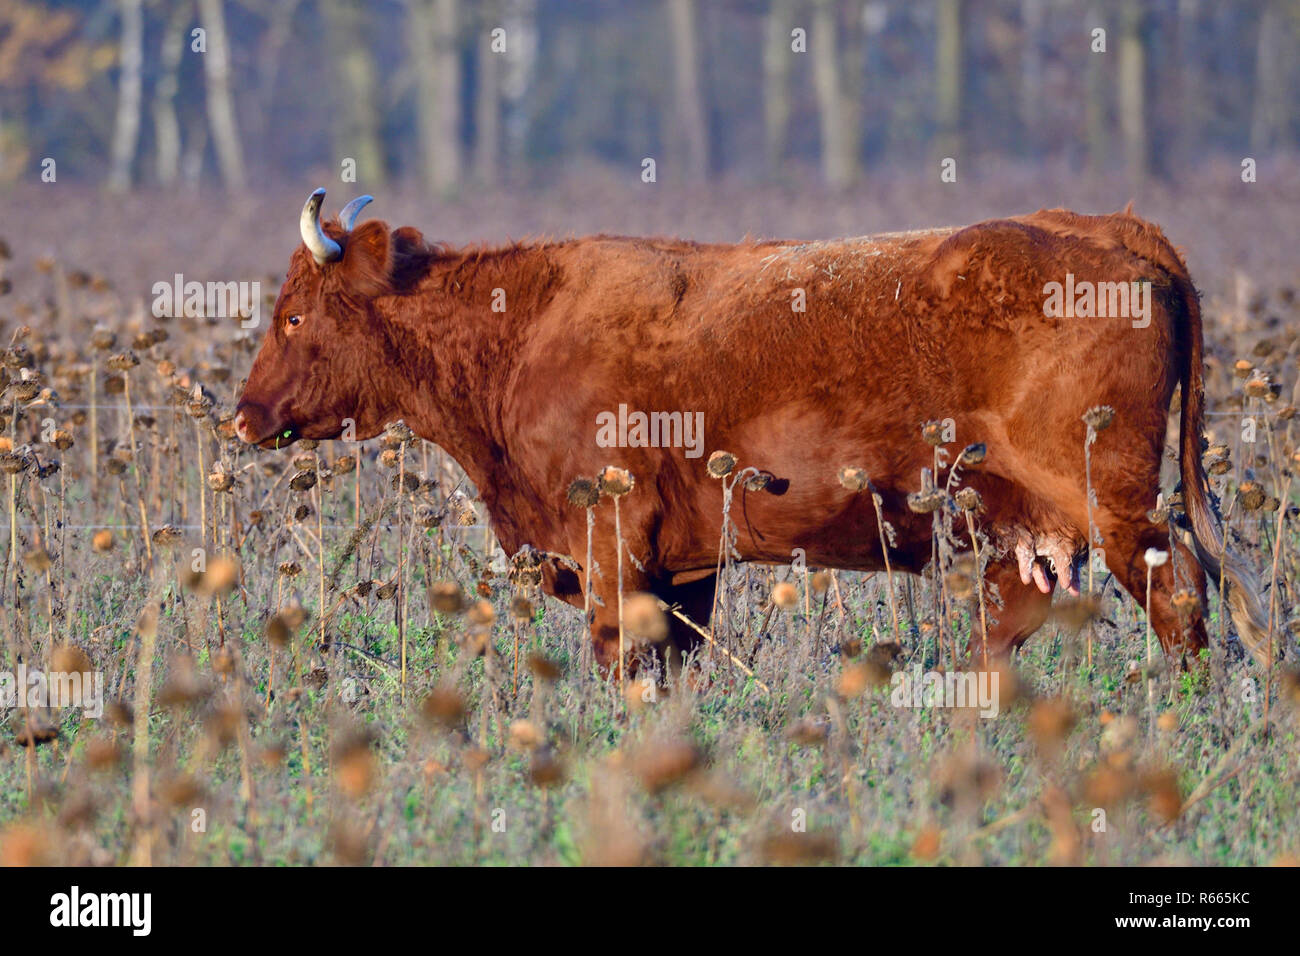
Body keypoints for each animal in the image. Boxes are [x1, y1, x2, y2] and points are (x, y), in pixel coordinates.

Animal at [233, 191, 1268, 676]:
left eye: (293, 315)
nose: (244, 415)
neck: (522, 329)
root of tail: (1113, 227)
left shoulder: (613, 550)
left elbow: (623, 660)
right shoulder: (684, 567)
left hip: (1117, 510)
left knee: (1181, 597)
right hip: (1025, 534)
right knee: (1006, 628)